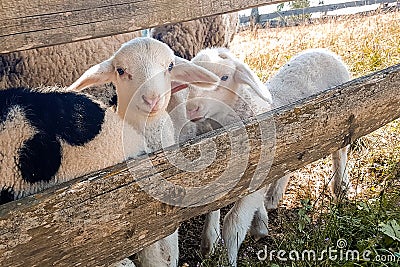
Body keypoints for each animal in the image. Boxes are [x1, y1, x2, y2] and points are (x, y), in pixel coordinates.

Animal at [186, 47, 352, 266]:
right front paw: (211, 241)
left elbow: (234, 223)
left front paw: (229, 259)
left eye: (225, 77)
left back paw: (341, 186)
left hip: (342, 119)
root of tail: (324, 51)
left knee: (340, 153)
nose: (191, 108)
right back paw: (273, 197)